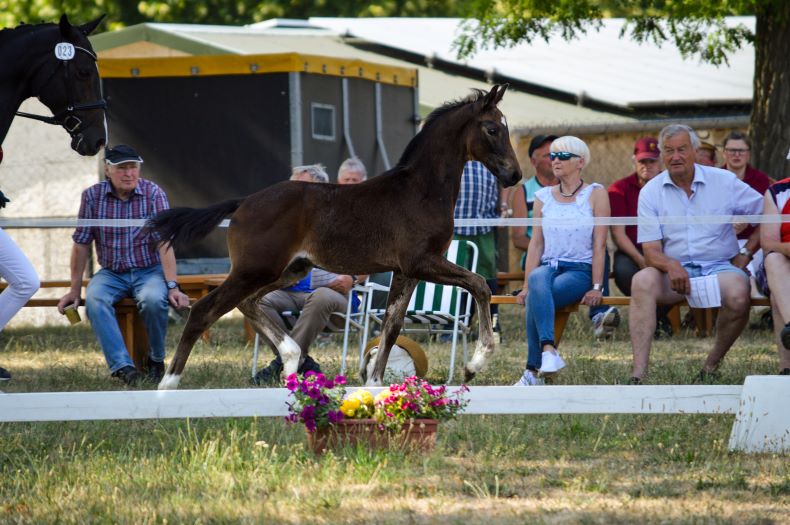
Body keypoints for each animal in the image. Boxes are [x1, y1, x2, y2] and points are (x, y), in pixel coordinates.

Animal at [148, 85, 524, 388]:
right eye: (492, 128)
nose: (515, 175)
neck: (420, 190)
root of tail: (242, 203)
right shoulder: (422, 261)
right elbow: (479, 284)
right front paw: (475, 363)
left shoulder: (406, 271)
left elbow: (392, 326)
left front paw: (374, 384)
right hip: (256, 269)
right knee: (205, 309)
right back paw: (167, 386)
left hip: (288, 270)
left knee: (247, 303)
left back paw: (290, 359)